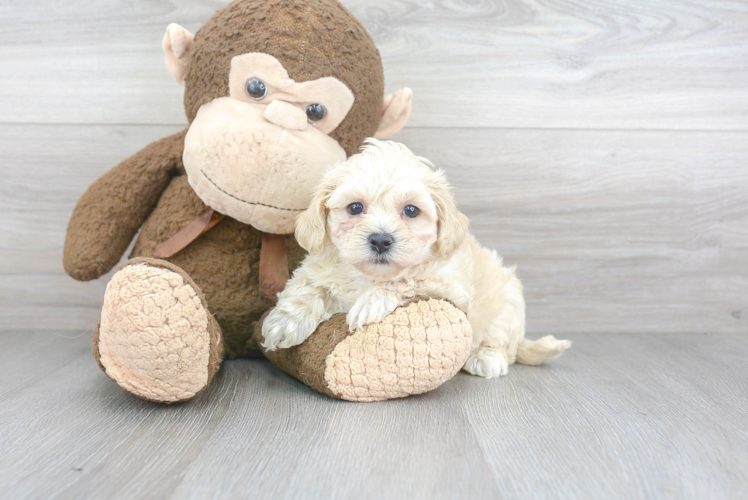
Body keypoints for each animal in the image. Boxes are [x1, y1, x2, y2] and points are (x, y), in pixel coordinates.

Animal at [260, 139, 568, 376]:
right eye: (355, 207)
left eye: (411, 211)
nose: (381, 240)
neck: (368, 276)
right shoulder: (317, 268)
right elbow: (309, 288)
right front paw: (284, 323)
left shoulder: (450, 288)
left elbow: (408, 281)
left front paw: (371, 303)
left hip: (507, 305)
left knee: (503, 344)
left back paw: (486, 358)